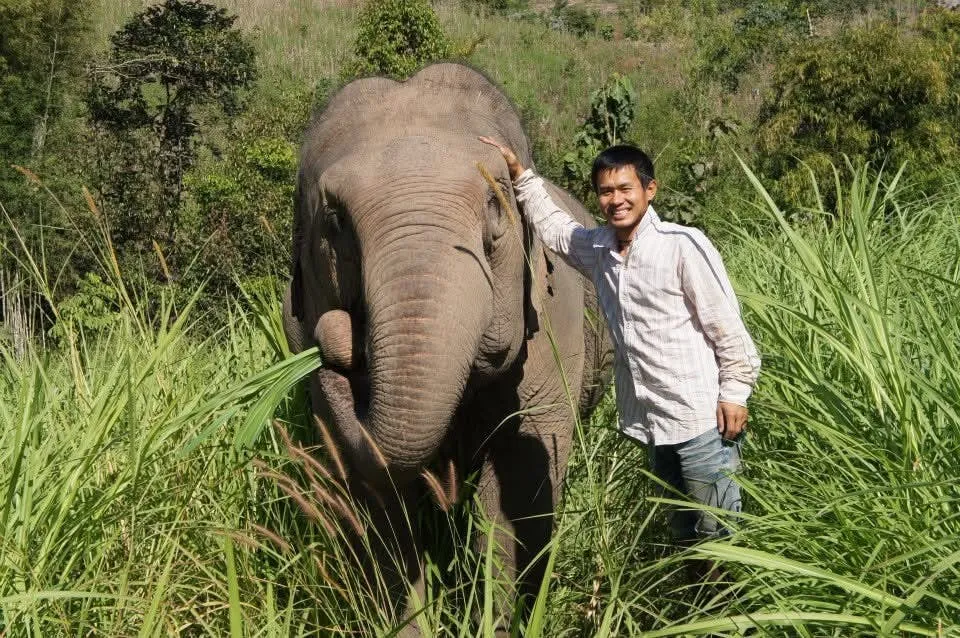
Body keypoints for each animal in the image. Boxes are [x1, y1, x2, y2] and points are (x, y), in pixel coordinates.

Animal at [283, 62, 611, 633]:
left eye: (495, 204)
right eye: (336, 221)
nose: (336, 335)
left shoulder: (555, 325)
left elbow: (520, 476)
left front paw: (496, 620)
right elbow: (376, 496)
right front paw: (408, 623)